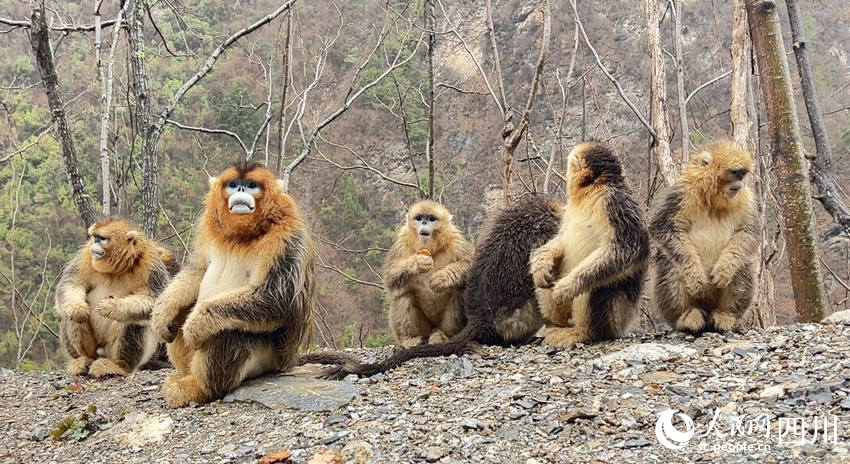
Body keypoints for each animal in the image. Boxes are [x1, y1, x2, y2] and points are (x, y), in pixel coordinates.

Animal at [56, 218, 171, 377]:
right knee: (70, 314)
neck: (116, 269)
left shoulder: (150, 263)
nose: (94, 245)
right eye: (95, 238)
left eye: (102, 239)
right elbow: (72, 282)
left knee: (131, 320)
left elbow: (155, 301)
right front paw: (77, 309)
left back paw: (119, 365)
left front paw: (113, 307)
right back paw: (83, 359)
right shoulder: (86, 255)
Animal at [150, 163, 315, 407]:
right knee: (182, 314)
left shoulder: (286, 235)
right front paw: (163, 311)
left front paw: (196, 324)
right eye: (233, 184)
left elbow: (277, 300)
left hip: (268, 359)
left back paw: (200, 388)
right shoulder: (208, 227)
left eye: (252, 185)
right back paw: (184, 374)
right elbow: (198, 270)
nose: (240, 189)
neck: (241, 236)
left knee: (228, 331)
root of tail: (287, 361)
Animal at [384, 200, 473, 348]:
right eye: (419, 218)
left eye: (432, 219)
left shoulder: (456, 242)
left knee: (457, 291)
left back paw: (445, 335)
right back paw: (409, 337)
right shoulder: (402, 244)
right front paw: (418, 262)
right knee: (404, 295)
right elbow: (390, 278)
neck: (432, 248)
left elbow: (470, 264)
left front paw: (443, 277)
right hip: (423, 328)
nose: (424, 223)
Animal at [529, 141, 650, 348]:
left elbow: (628, 248)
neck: (592, 190)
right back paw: (555, 324)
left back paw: (583, 332)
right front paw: (542, 262)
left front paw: (567, 286)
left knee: (597, 286)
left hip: (618, 316)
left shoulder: (615, 202)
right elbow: (562, 238)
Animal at [650, 141, 757, 332]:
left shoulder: (746, 197)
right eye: (735, 173)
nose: (739, 184)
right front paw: (695, 278)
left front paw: (724, 270)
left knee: (742, 263)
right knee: (670, 262)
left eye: (742, 174)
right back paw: (686, 316)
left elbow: (748, 231)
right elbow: (665, 227)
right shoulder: (682, 192)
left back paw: (725, 314)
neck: (714, 200)